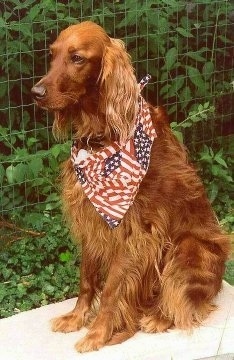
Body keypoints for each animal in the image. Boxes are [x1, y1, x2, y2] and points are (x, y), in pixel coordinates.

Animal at [31, 19, 230, 352]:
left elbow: (112, 289)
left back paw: (158, 317)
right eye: (53, 54)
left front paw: (97, 333)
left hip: (188, 247)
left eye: (77, 58)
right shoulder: (92, 220)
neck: (102, 135)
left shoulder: (134, 232)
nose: (35, 92)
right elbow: (87, 278)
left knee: (188, 301)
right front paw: (77, 318)